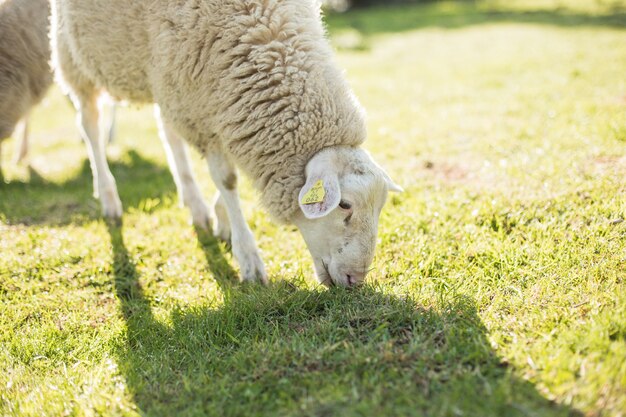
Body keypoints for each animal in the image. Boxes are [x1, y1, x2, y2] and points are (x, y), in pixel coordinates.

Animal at [50, 0, 400, 286]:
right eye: (344, 205)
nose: (356, 279)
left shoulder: (211, 99)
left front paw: (221, 219)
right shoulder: (199, 101)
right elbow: (228, 179)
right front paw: (248, 258)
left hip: (162, 76)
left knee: (167, 130)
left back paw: (195, 204)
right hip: (73, 55)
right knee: (90, 126)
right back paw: (109, 198)